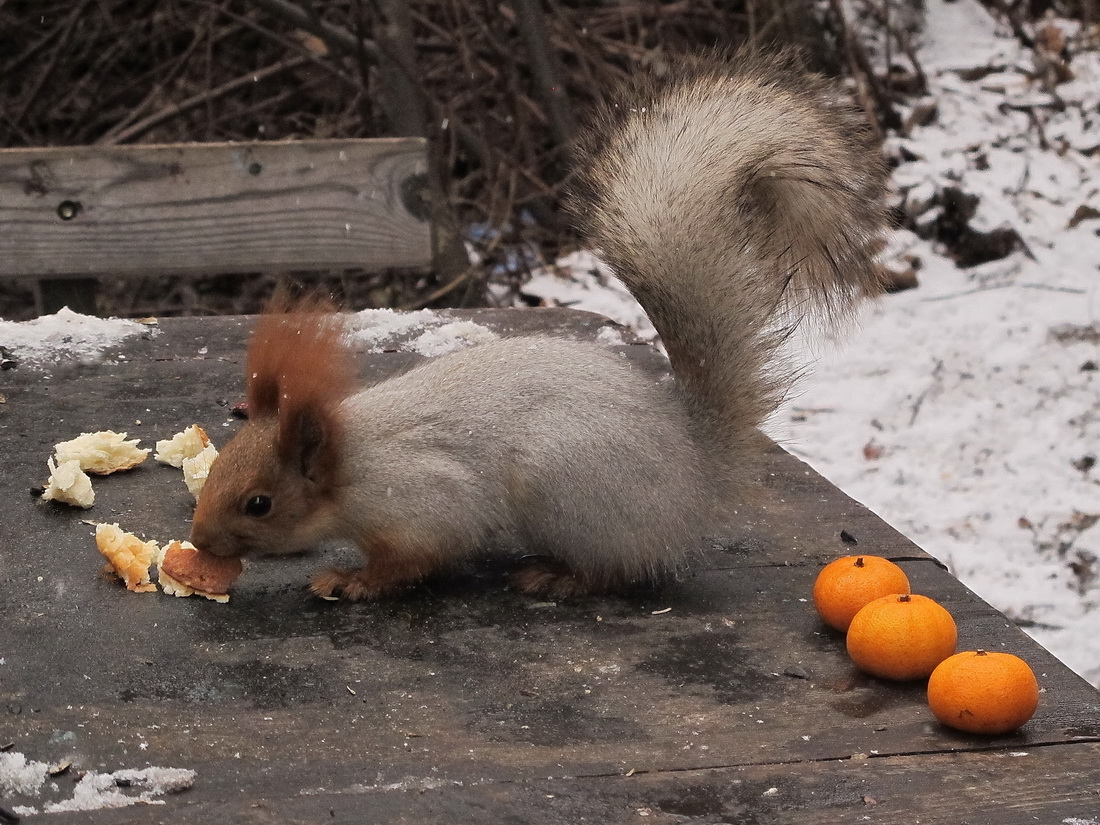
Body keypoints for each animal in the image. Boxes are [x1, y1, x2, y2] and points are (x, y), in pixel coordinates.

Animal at [191, 51, 884, 602]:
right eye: (219, 468)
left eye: (259, 504)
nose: (199, 539)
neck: (346, 461)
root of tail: (692, 469)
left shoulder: (421, 500)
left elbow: (416, 557)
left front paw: (352, 581)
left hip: (566, 490)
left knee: (621, 569)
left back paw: (558, 576)